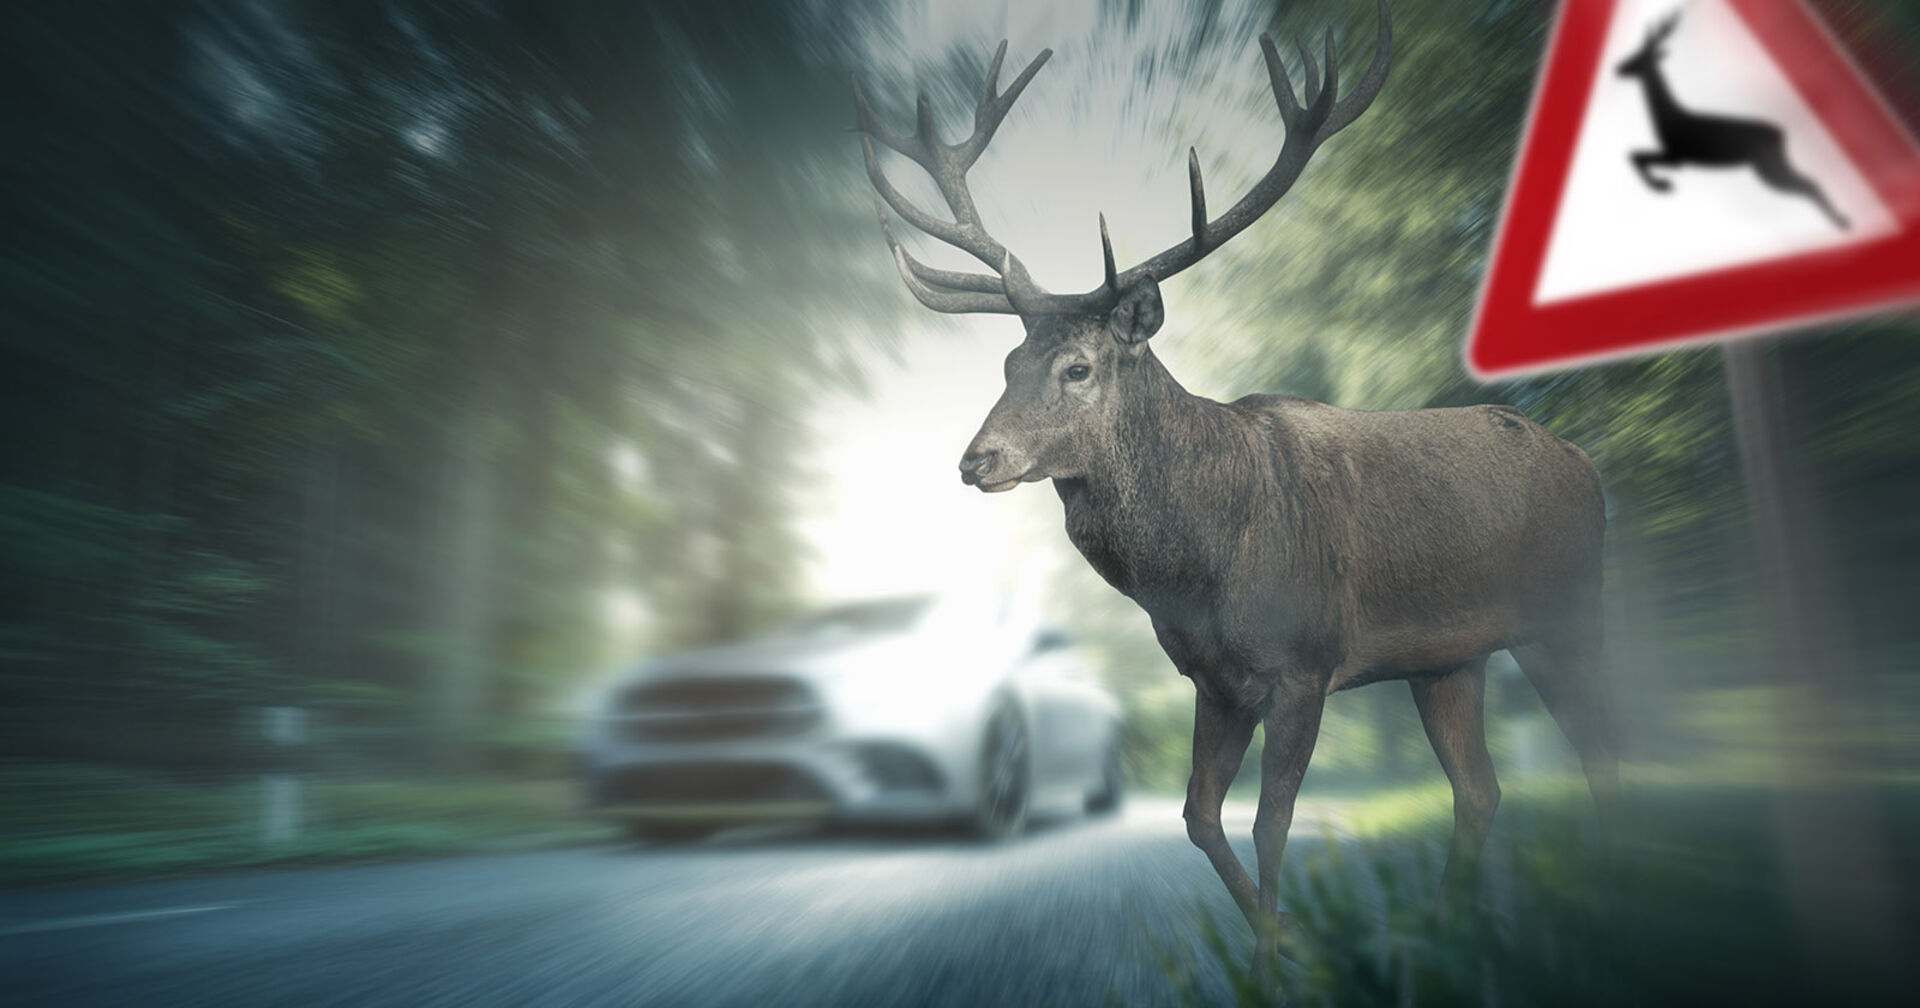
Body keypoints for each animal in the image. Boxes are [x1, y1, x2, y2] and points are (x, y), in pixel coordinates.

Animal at [853, 0, 1615, 981]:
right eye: (1009, 362)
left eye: (1079, 366)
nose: (976, 460)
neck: (1201, 568)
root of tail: (1589, 466)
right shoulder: (1213, 682)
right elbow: (1198, 818)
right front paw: (1287, 941)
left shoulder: (1305, 663)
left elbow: (1270, 823)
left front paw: (1279, 969)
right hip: (1451, 658)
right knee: (1481, 789)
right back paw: (1448, 933)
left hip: (1568, 613)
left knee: (1606, 752)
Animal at [1617, 12, 1848, 228]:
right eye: (1634, 53)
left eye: (1639, 58)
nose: (1618, 68)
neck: (1668, 118)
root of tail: (1782, 134)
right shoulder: (1675, 156)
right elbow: (1635, 156)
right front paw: (1663, 184)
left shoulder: (1677, 156)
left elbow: (1636, 157)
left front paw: (1663, 185)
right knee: (1809, 181)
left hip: (1769, 167)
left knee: (1808, 184)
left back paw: (1842, 222)